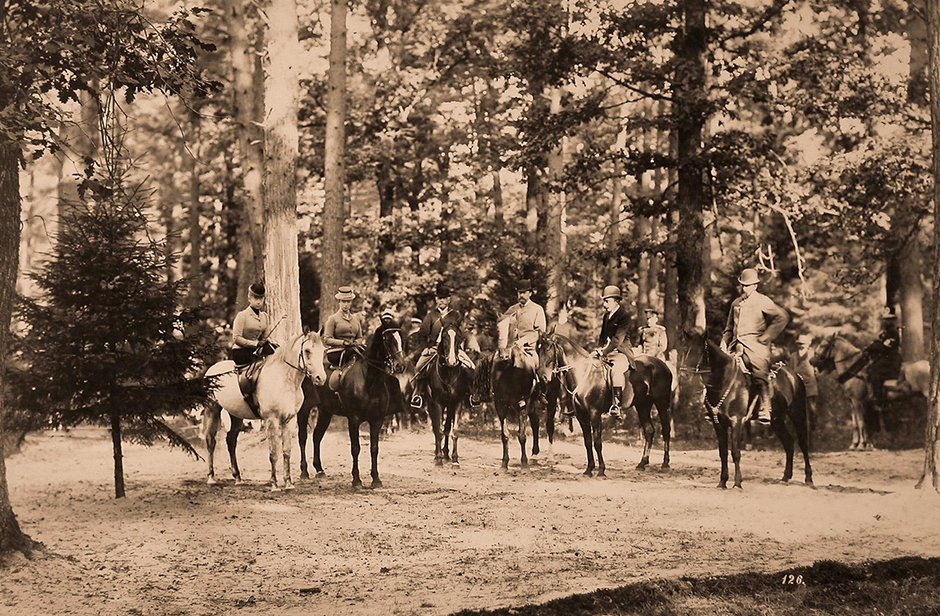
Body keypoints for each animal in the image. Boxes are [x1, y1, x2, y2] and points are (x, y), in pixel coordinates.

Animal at [202, 332, 326, 490]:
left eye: (323, 351)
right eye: (307, 351)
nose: (321, 378)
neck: (283, 379)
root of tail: (212, 369)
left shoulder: (289, 420)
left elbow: (286, 451)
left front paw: (288, 483)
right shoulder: (271, 419)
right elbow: (273, 453)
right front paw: (274, 484)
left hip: (236, 415)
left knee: (231, 441)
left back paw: (238, 478)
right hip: (211, 410)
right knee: (210, 441)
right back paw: (211, 477)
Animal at [296, 320, 414, 488]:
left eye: (401, 339)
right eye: (387, 339)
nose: (400, 366)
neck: (369, 380)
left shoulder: (377, 420)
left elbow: (374, 448)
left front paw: (376, 479)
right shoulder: (354, 419)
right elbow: (355, 448)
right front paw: (356, 480)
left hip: (325, 411)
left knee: (317, 436)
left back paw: (320, 470)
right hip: (305, 409)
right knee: (303, 437)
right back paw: (304, 472)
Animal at [680, 332, 812, 490]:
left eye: (699, 351)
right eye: (684, 349)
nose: (683, 376)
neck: (723, 381)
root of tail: (795, 376)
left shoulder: (736, 421)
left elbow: (735, 452)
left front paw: (737, 483)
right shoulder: (718, 424)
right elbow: (723, 453)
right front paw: (722, 482)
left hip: (798, 414)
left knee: (803, 443)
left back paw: (809, 479)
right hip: (777, 420)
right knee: (789, 442)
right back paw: (785, 477)